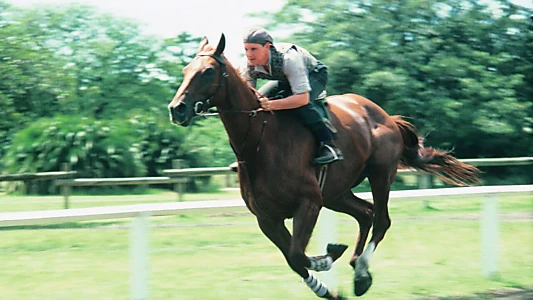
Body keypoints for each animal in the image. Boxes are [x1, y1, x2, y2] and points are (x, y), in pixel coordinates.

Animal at [166, 34, 478, 298]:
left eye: (207, 71)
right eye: (185, 70)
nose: (177, 109)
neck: (259, 141)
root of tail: (385, 116)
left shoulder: (308, 203)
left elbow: (297, 254)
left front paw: (327, 258)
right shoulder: (267, 217)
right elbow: (293, 259)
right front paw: (327, 286)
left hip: (379, 175)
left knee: (381, 220)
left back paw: (361, 270)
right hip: (335, 192)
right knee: (365, 213)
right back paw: (358, 268)